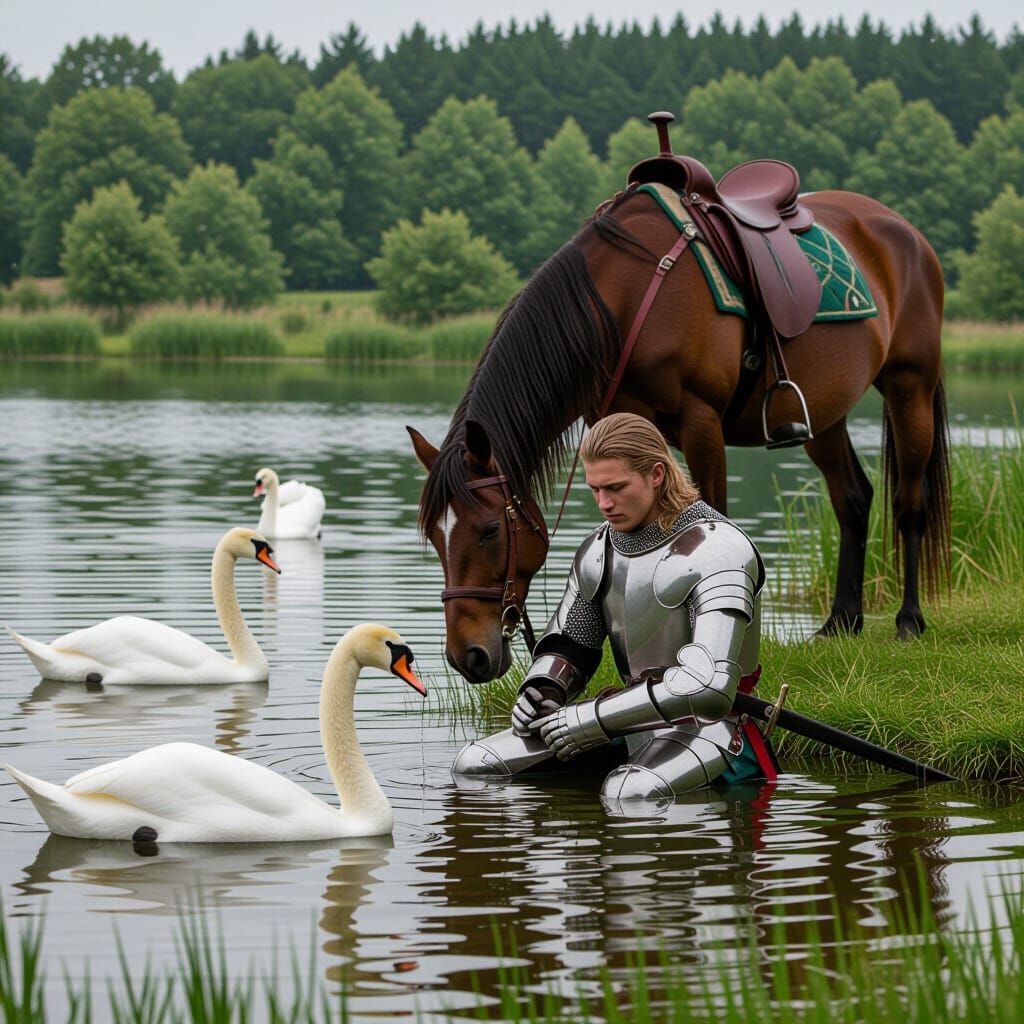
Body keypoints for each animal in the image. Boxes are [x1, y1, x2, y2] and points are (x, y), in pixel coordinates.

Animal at [408, 176, 949, 685]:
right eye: (435, 536)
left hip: (910, 384)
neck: (621, 301)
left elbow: (715, 516)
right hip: (825, 415)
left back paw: (908, 620)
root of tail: (902, 231)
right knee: (853, 498)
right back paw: (841, 621)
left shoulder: (701, 420)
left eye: (490, 529)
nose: (467, 656)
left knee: (909, 503)